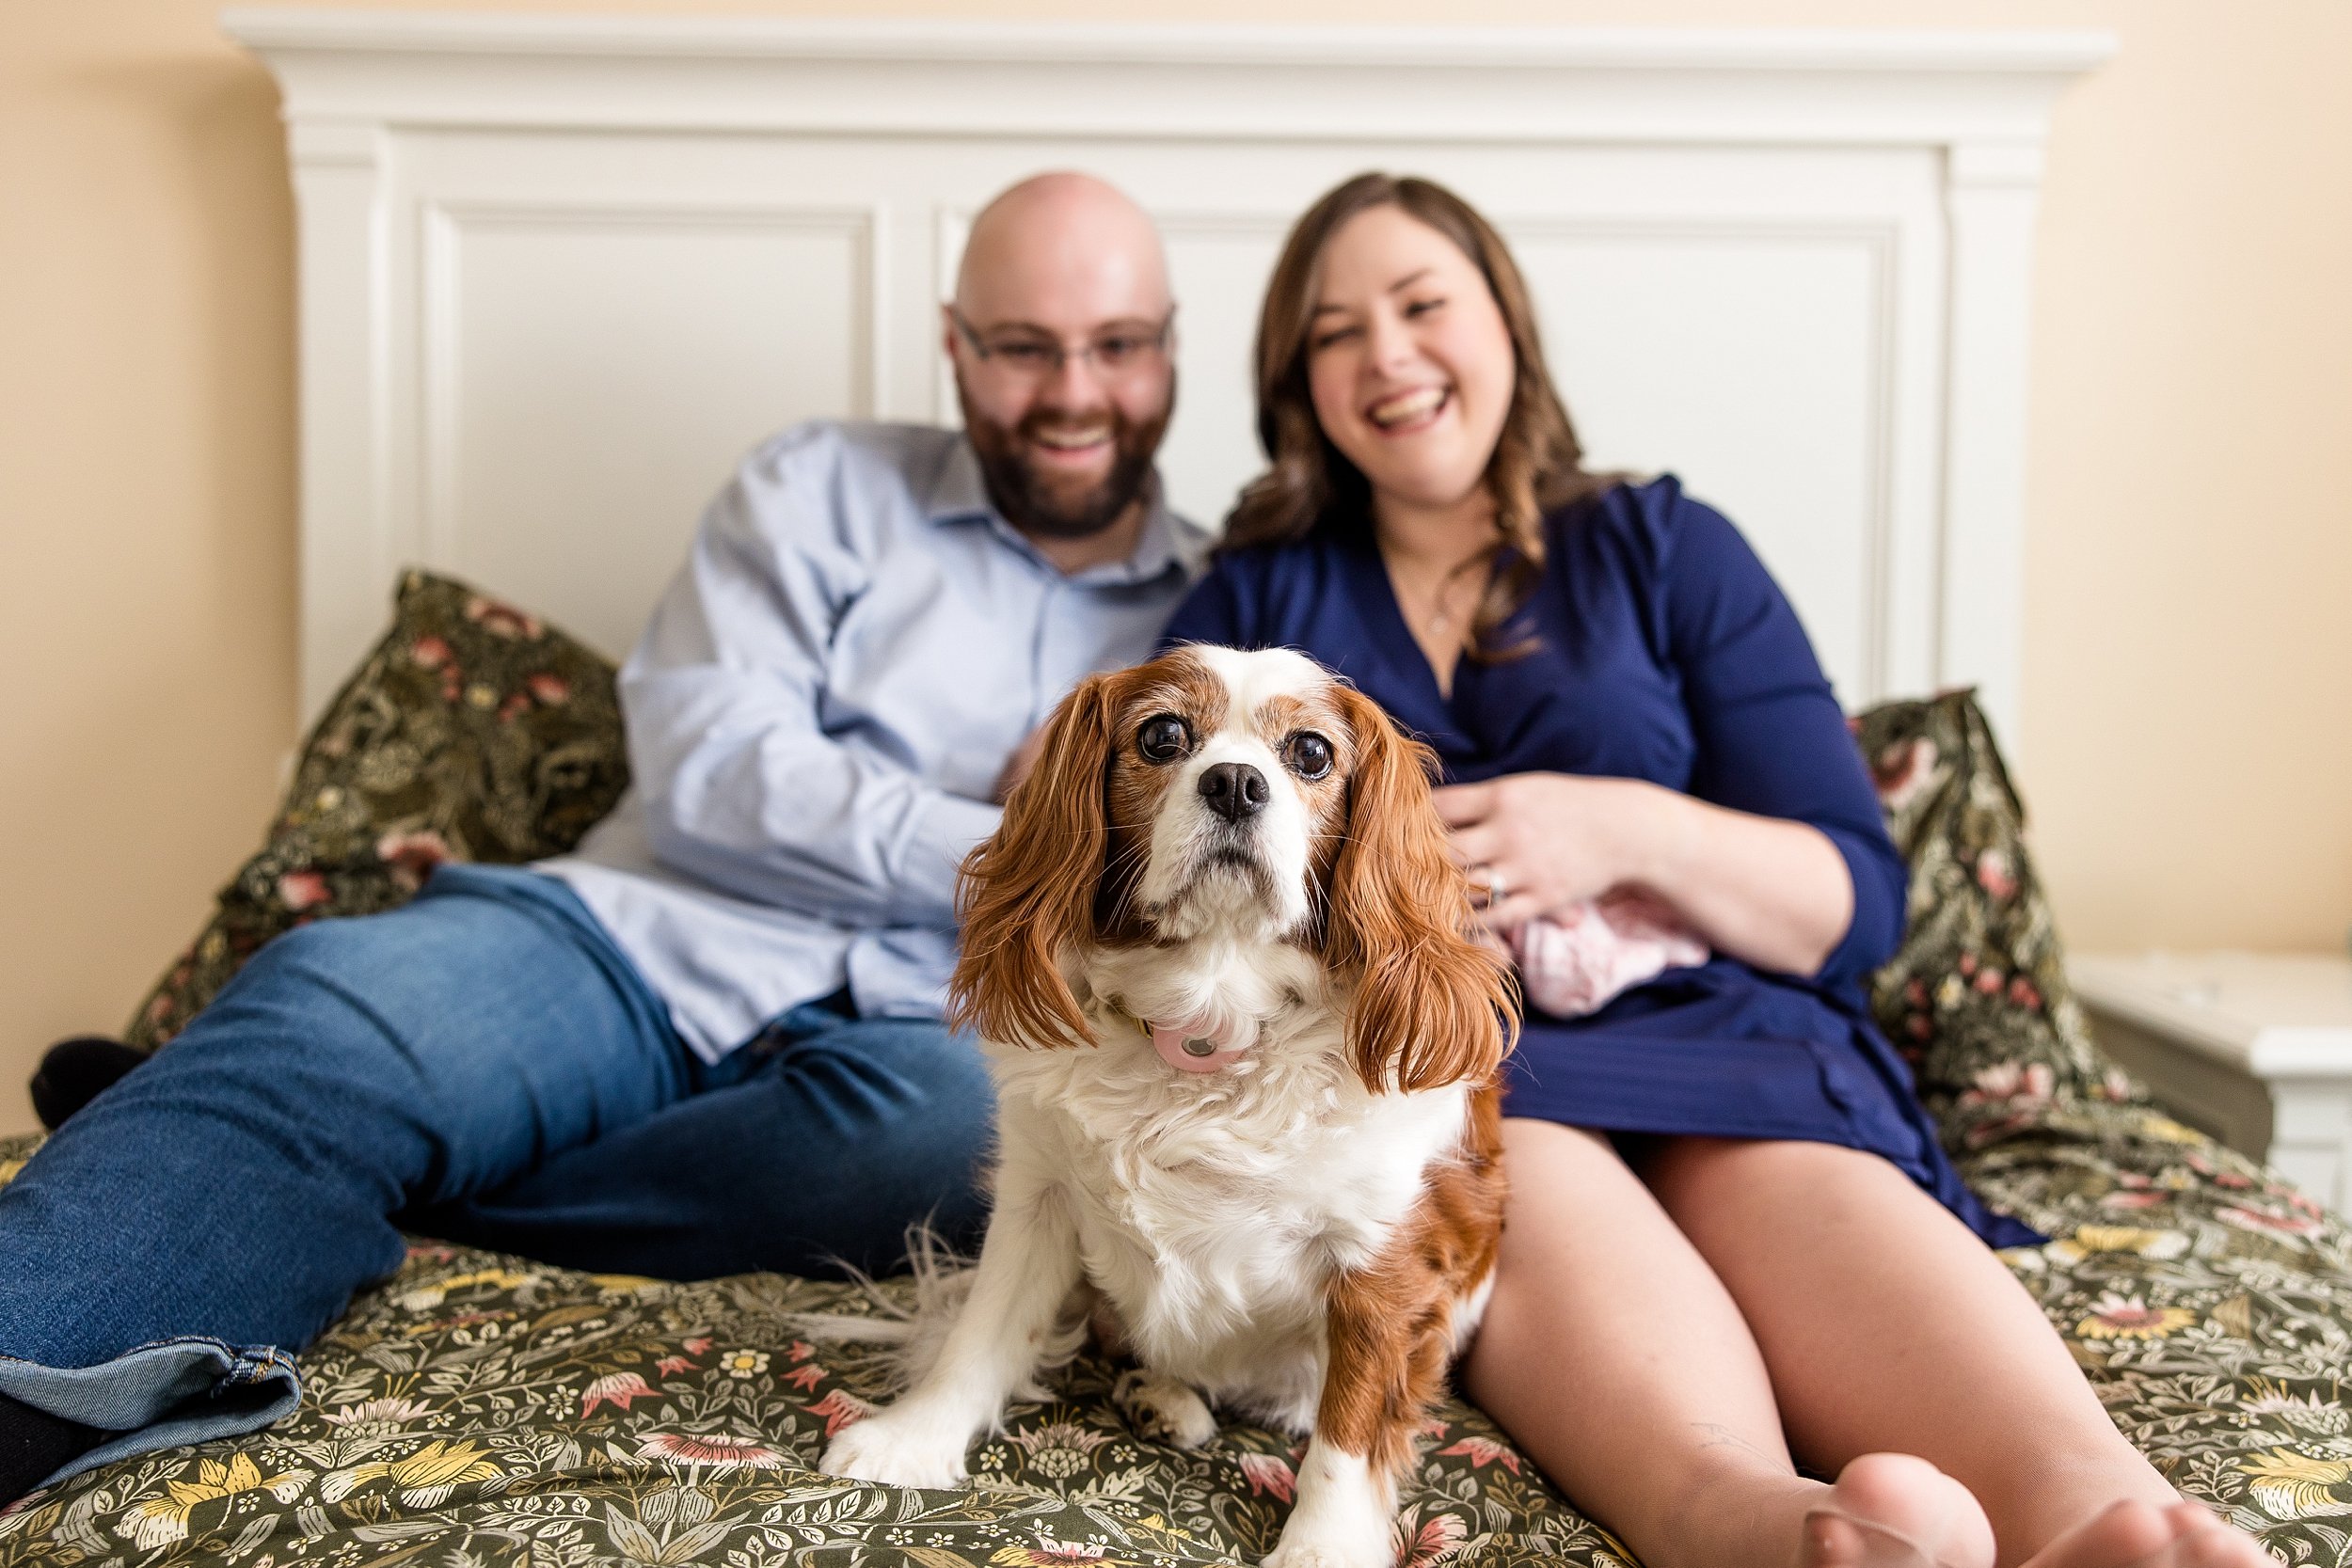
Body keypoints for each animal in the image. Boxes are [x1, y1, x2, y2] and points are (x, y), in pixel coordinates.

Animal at [818, 648, 1515, 1568]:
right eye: (1163, 736)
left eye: (1311, 753)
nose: (1235, 783)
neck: (1207, 1026)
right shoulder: (1038, 1196)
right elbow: (982, 1330)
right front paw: (912, 1439)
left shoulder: (1382, 1265)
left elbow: (1349, 1431)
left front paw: (1321, 1546)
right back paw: (1165, 1396)